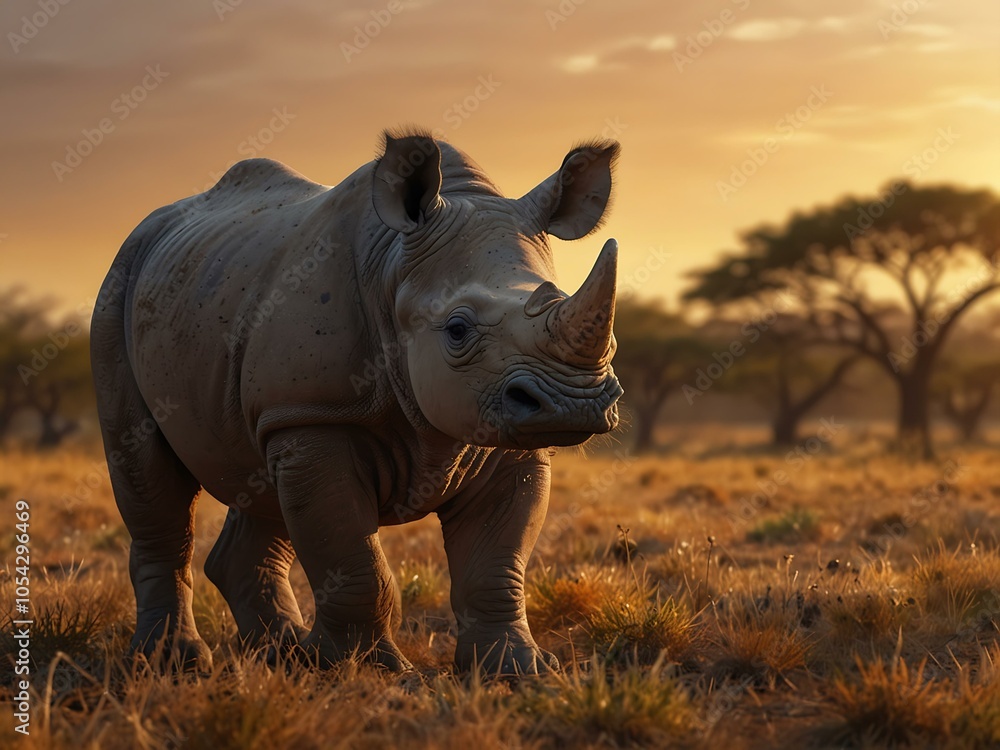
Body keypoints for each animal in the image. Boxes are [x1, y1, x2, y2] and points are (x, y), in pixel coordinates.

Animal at [91, 129, 622, 674]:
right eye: (456, 329)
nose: (572, 403)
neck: (395, 269)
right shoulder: (315, 417)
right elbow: (353, 558)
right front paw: (369, 671)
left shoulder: (499, 431)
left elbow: (496, 564)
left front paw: (518, 670)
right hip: (120, 286)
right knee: (148, 473)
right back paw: (174, 662)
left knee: (261, 481)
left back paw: (286, 657)